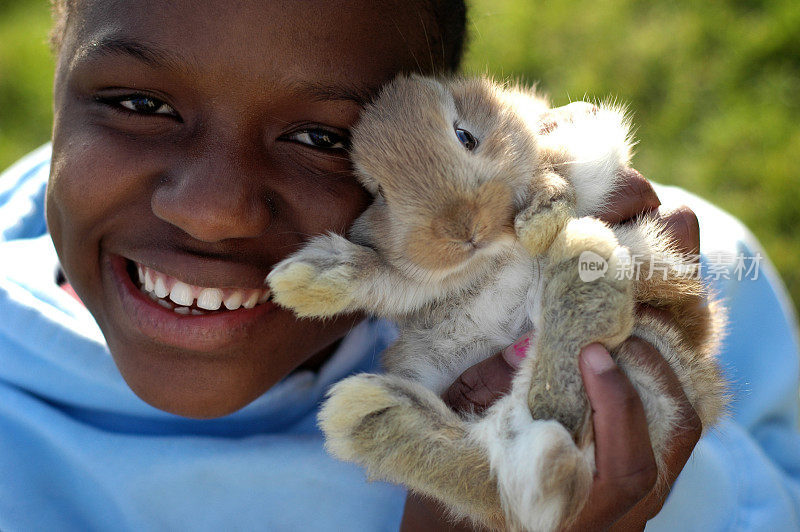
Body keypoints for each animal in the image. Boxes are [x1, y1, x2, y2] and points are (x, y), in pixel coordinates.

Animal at [268, 75, 724, 532]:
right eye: (376, 192)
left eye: (464, 137)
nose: (462, 227)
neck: (490, 253)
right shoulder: (433, 278)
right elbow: (395, 278)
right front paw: (301, 282)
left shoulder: (585, 144)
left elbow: (555, 169)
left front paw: (540, 221)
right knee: (504, 472)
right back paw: (369, 417)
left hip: (651, 355)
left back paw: (582, 273)